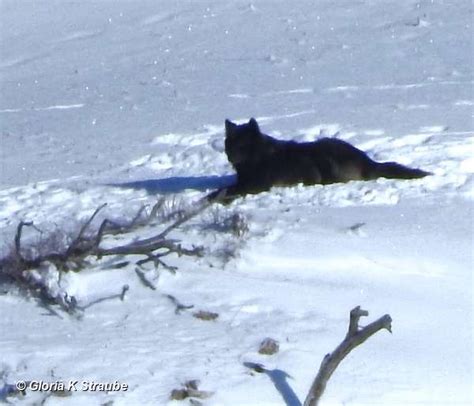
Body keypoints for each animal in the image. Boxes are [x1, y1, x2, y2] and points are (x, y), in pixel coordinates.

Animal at [209, 118, 432, 202]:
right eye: (230, 144)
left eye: (242, 145)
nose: (230, 156)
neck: (259, 157)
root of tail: (368, 161)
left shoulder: (258, 185)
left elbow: (228, 191)